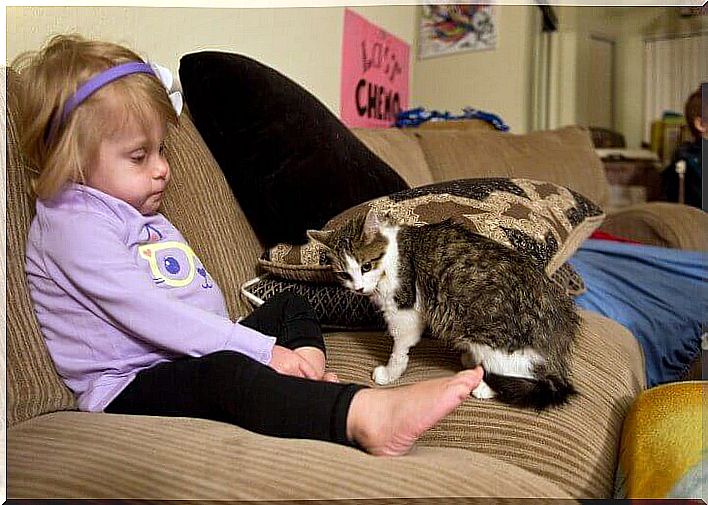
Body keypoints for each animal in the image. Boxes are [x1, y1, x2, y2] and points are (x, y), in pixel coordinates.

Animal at [310, 209, 580, 410]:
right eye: (345, 274)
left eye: (366, 266)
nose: (358, 288)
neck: (392, 257)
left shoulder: (404, 313)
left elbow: (399, 351)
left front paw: (389, 373)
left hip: (494, 341)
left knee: (526, 374)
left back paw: (484, 385)